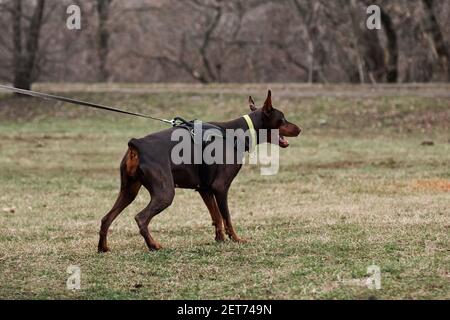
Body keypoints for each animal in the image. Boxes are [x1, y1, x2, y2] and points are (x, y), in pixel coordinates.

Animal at [99, 90, 302, 252]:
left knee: (106, 218)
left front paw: (220, 240)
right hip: (165, 192)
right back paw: (153, 245)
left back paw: (103, 248)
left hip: (129, 190)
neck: (236, 134)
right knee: (141, 218)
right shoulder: (221, 187)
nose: (300, 129)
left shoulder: (204, 188)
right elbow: (226, 217)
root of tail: (137, 145)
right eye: (283, 118)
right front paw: (236, 239)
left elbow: (216, 217)